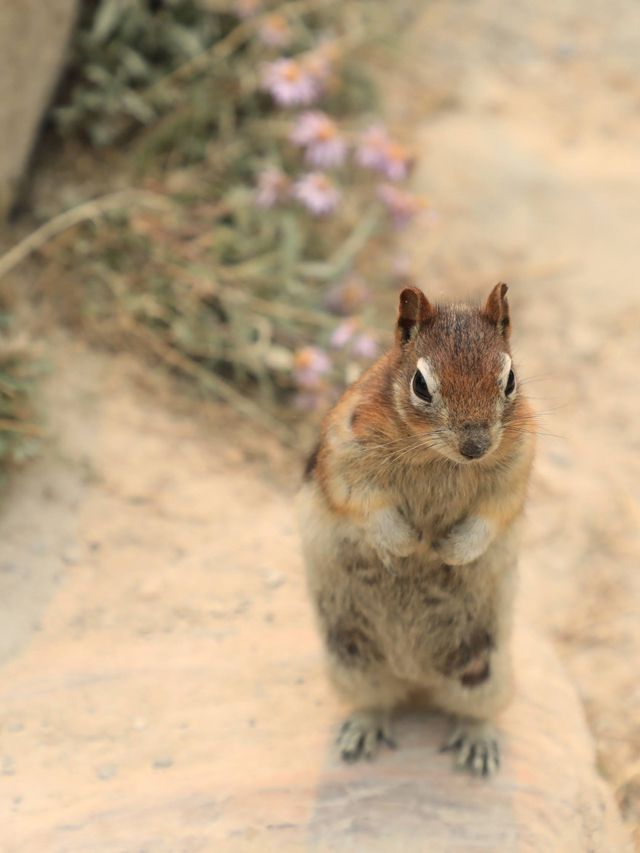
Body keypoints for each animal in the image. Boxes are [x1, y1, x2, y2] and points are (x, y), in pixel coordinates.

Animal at [298, 282, 536, 776]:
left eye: (509, 380)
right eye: (421, 385)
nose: (475, 446)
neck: (439, 457)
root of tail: (415, 675)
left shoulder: (517, 466)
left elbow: (492, 514)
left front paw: (450, 552)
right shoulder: (346, 455)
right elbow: (367, 505)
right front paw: (406, 546)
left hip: (482, 671)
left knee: (475, 707)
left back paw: (478, 744)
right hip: (350, 661)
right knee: (375, 701)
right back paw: (361, 731)